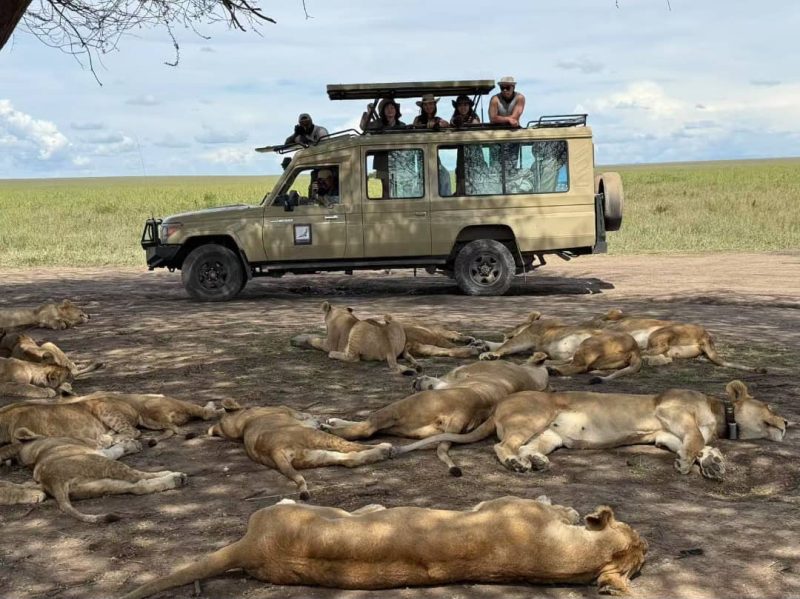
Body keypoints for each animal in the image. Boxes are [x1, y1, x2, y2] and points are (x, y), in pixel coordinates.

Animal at [0, 431, 186, 523]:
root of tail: (52, 481)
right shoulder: (99, 450)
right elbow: (115, 449)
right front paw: (130, 444)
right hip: (103, 463)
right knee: (139, 476)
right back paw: (173, 475)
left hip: (100, 485)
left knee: (138, 487)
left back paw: (175, 480)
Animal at [208, 406, 393, 499]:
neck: (241, 423)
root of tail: (273, 450)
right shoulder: (286, 409)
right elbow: (303, 413)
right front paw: (317, 418)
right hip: (318, 438)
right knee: (349, 447)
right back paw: (385, 448)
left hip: (315, 456)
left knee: (349, 459)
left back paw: (381, 452)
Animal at [322, 355, 549, 475]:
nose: (415, 382)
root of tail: (463, 413)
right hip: (410, 427)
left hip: (400, 408)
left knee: (366, 429)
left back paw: (329, 428)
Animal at [396, 380, 787, 480]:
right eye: (772, 407)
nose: (788, 423)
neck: (722, 415)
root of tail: (497, 406)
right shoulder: (670, 409)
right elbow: (694, 438)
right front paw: (692, 464)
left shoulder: (666, 435)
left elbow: (697, 442)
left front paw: (713, 463)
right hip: (535, 415)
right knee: (502, 448)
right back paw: (518, 466)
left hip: (550, 434)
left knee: (525, 447)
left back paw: (536, 462)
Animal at [479, 311, 641, 383]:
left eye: (515, 325)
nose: (504, 333)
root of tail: (636, 349)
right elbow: (499, 344)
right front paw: (482, 344)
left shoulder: (525, 338)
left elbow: (506, 345)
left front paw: (490, 354)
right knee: (576, 363)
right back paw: (547, 364)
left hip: (589, 342)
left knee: (579, 366)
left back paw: (553, 370)